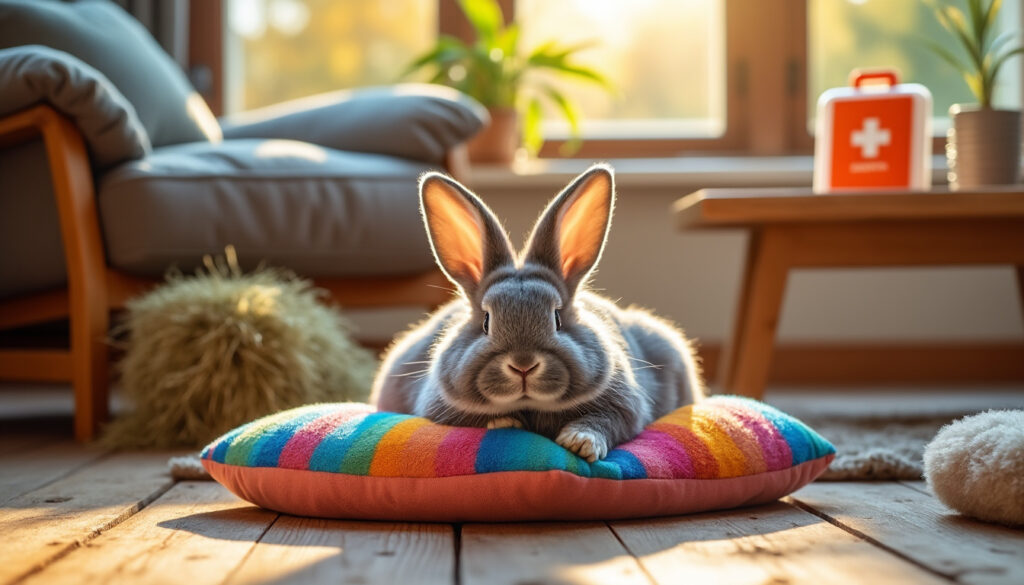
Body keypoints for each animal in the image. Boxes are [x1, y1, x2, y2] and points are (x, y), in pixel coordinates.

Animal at [370, 163, 704, 462]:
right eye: (486, 321)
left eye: (557, 318)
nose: (523, 365)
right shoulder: (437, 407)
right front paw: (505, 422)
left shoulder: (626, 407)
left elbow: (606, 422)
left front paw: (579, 443)